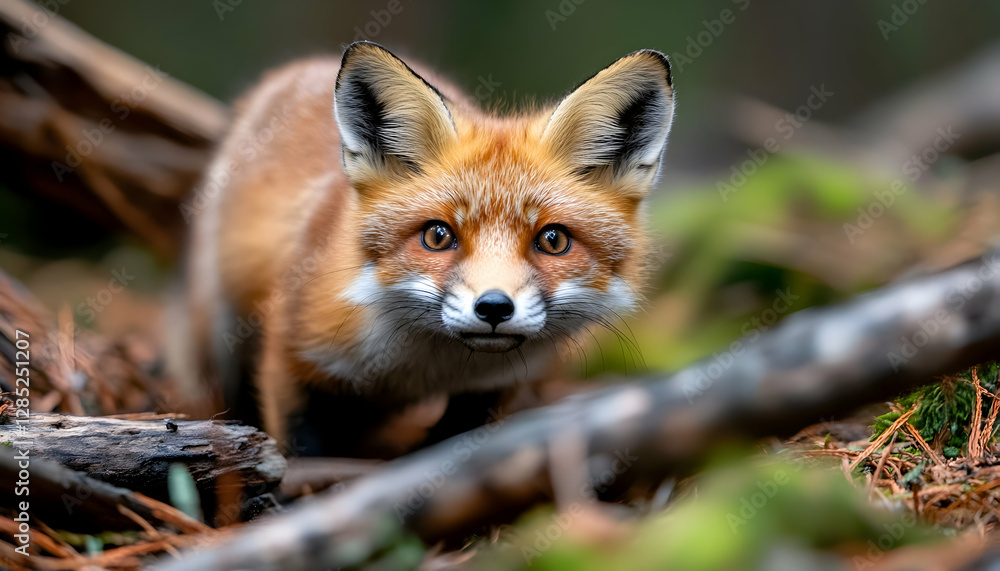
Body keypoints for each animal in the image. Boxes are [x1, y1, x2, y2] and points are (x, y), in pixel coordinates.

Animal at [170, 41, 675, 457]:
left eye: (553, 240)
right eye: (438, 236)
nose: (494, 308)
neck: (423, 370)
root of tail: (307, 62)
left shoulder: (489, 390)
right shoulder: (292, 355)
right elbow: (302, 455)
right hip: (220, 330)